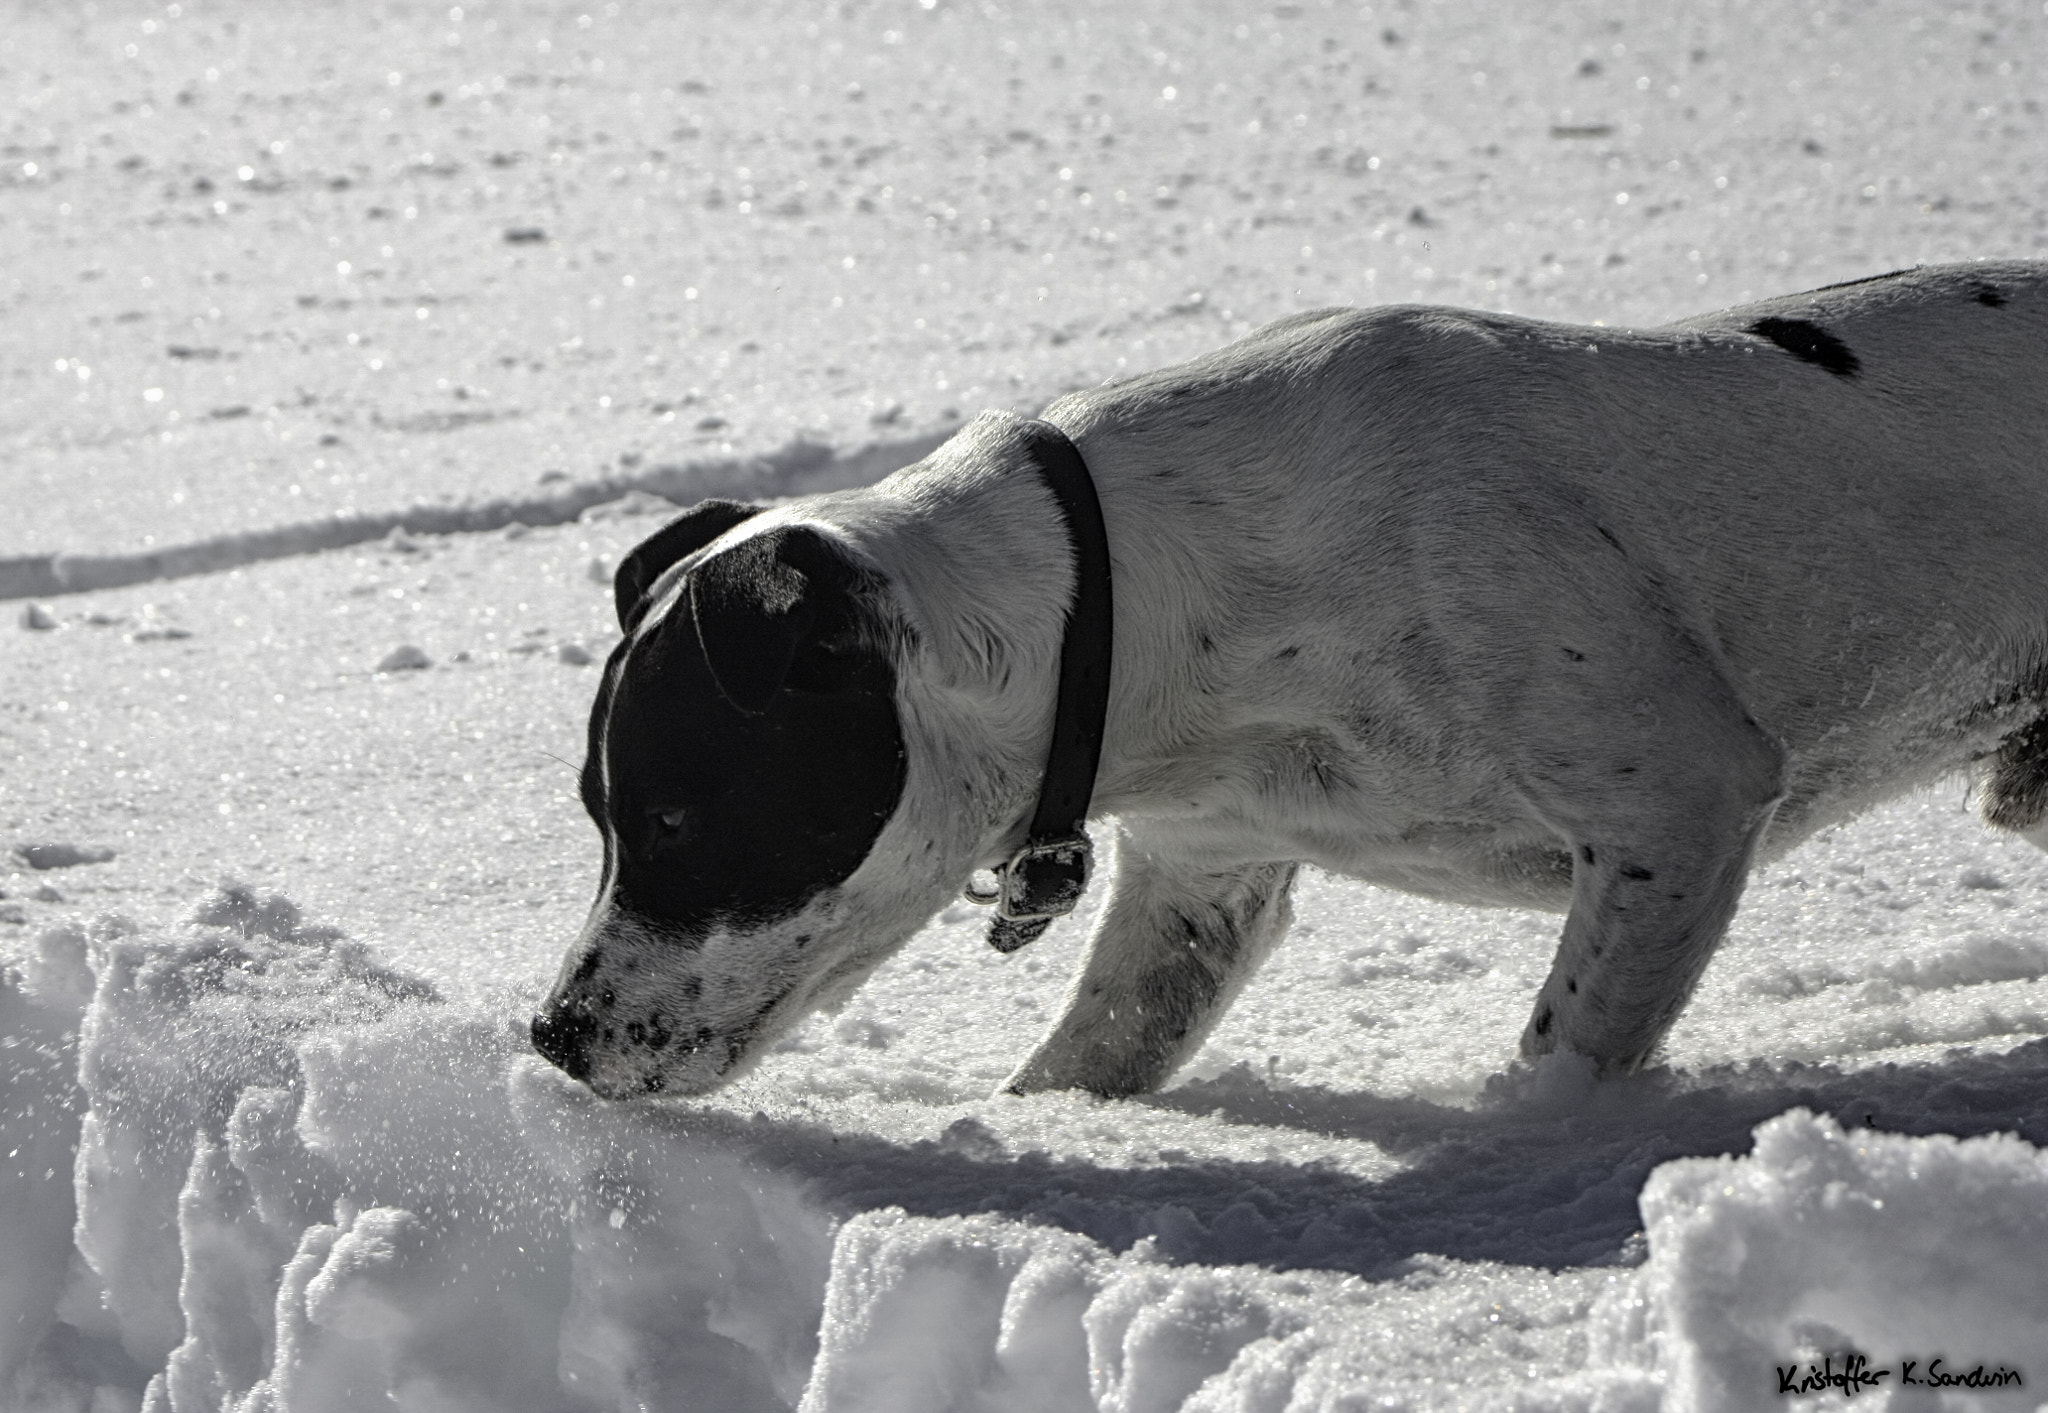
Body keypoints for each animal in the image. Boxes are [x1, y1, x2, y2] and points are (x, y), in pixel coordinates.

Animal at [532, 264, 2048, 1097]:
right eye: (599, 820)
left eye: (674, 819)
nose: (549, 1035)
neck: (1134, 601)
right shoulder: (1199, 880)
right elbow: (1079, 1065)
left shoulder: (1675, 807)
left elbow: (1562, 1044)